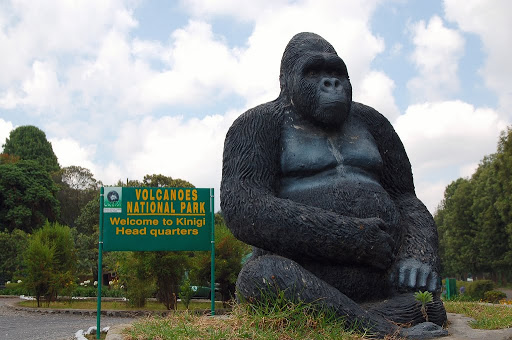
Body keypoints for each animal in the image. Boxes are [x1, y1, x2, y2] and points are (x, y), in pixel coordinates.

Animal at [220, 32, 448, 338]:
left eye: (335, 71)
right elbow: (246, 202)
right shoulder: (249, 124)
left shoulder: (380, 121)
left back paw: (407, 310)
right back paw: (395, 327)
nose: (331, 83)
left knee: (425, 298)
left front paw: (418, 266)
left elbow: (404, 196)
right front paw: (367, 240)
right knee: (267, 274)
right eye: (314, 71)